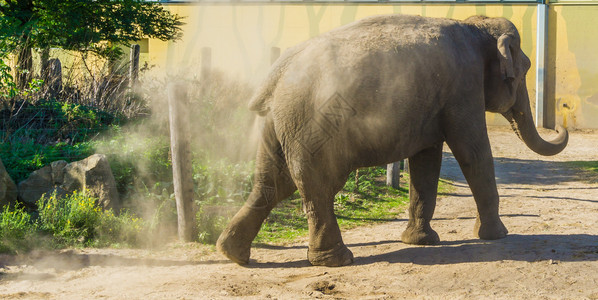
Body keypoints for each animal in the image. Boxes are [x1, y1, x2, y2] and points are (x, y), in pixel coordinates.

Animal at [216, 14, 568, 268]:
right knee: (319, 187)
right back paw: (337, 261)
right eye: (525, 70)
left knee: (273, 183)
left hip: (279, 125)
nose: (562, 121)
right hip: (313, 126)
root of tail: (277, 73)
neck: (475, 25)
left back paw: (233, 254)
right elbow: (472, 151)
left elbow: (426, 161)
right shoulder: (463, 89)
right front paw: (497, 237)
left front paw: (421, 241)